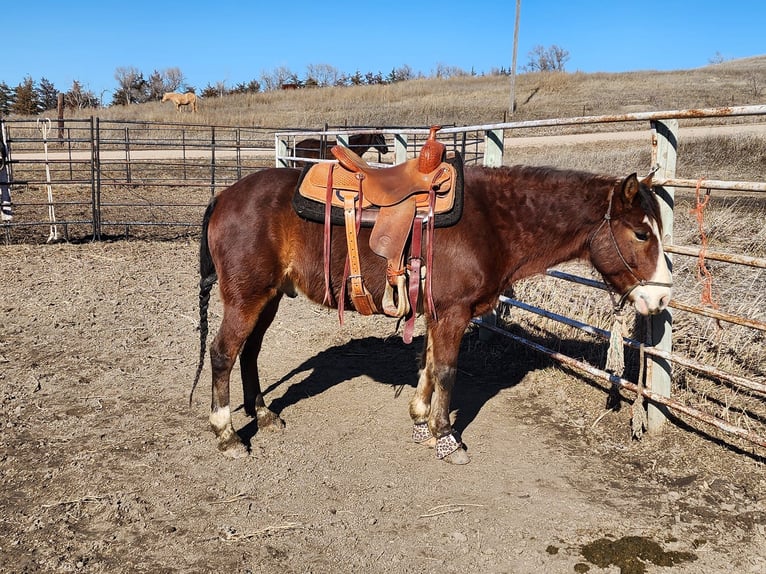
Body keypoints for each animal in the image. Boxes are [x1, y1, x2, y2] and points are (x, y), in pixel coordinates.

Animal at [192, 162, 672, 464]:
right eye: (641, 233)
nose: (662, 299)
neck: (492, 222)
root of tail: (224, 197)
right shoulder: (454, 313)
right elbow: (446, 370)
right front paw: (445, 436)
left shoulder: (435, 312)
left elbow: (426, 362)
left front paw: (420, 417)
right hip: (246, 298)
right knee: (223, 353)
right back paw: (226, 433)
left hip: (268, 297)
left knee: (249, 353)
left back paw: (264, 414)